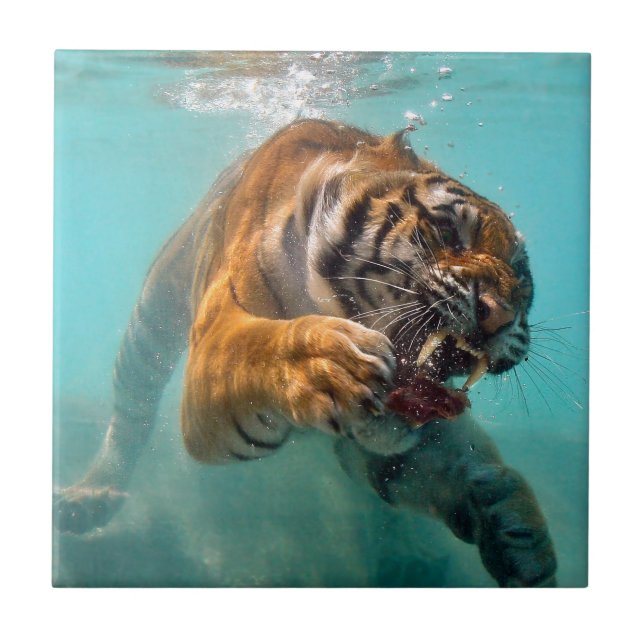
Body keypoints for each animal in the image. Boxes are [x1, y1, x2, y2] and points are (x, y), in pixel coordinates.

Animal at [54, 118, 557, 587]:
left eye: (520, 275)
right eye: (449, 230)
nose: (500, 316)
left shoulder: (395, 443)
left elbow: (472, 472)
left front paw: (521, 539)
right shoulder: (214, 340)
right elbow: (255, 348)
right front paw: (330, 366)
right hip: (152, 316)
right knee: (131, 413)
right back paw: (89, 500)